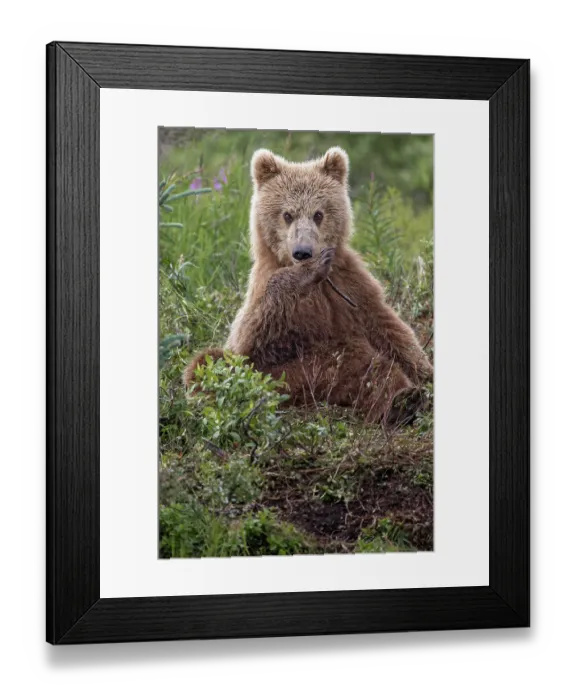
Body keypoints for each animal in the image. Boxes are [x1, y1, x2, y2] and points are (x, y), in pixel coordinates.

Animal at [184, 147, 433, 425]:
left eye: (318, 214)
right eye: (287, 214)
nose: (303, 252)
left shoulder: (350, 285)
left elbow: (388, 328)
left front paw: (425, 373)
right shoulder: (264, 295)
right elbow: (251, 338)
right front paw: (305, 273)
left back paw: (405, 399)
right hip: (281, 376)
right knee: (206, 362)